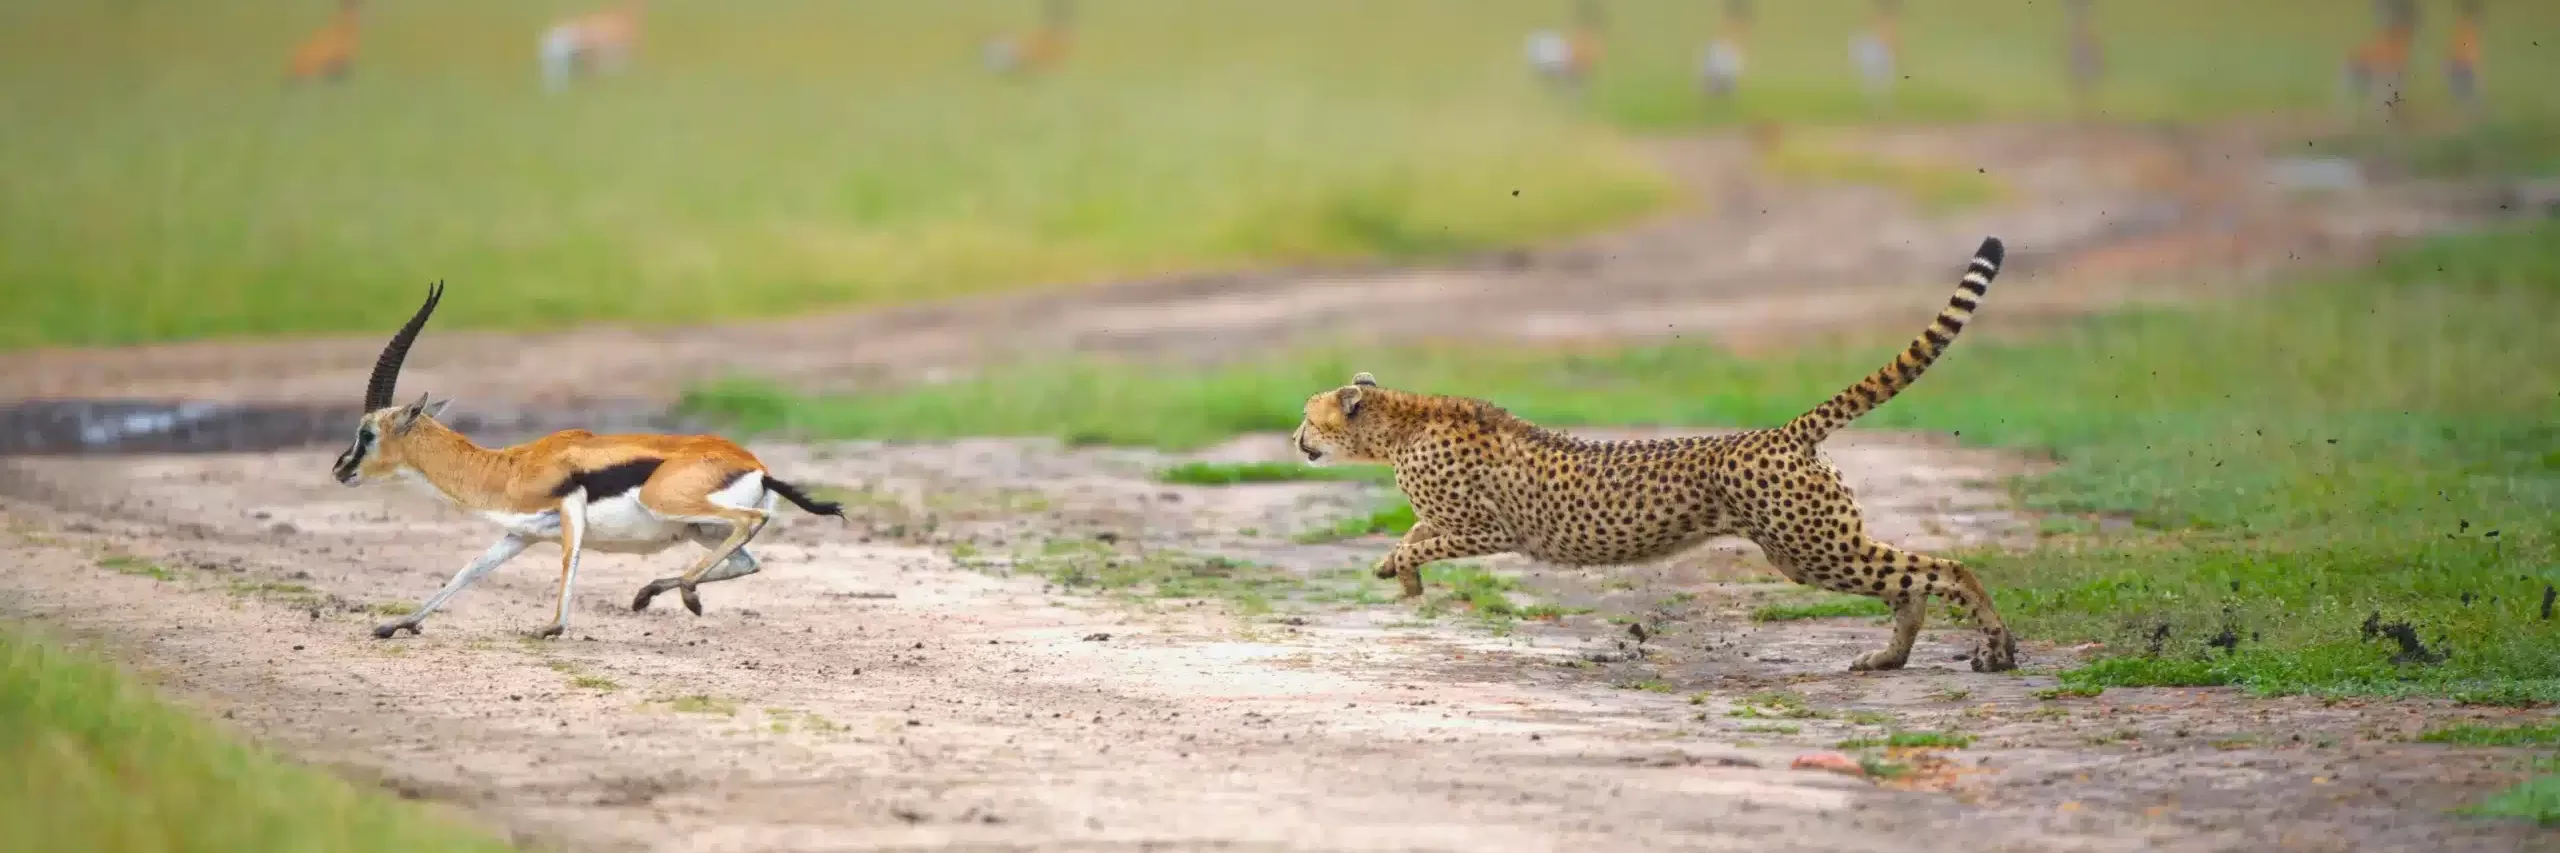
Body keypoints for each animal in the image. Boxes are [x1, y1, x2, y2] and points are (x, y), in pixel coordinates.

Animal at [330, 281, 844, 635]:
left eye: (367, 432)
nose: (340, 469)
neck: (507, 469)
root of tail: (757, 466)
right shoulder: (518, 534)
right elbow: (468, 570)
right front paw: (397, 624)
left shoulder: (567, 508)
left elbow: (568, 560)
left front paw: (551, 628)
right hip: (698, 528)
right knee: (747, 561)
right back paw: (657, 596)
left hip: (673, 505)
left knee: (751, 521)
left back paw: (681, 595)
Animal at [1300, 235, 2017, 666]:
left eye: (1308, 414)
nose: (1297, 438)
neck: (1399, 422)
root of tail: (1783, 431)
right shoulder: (1457, 520)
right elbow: (1413, 534)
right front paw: (1394, 571)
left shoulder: (1485, 528)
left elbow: (1421, 538)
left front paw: (1402, 571)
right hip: (1812, 548)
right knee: (1911, 582)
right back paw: (1890, 657)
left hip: (1813, 546)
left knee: (1947, 569)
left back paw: (1996, 647)